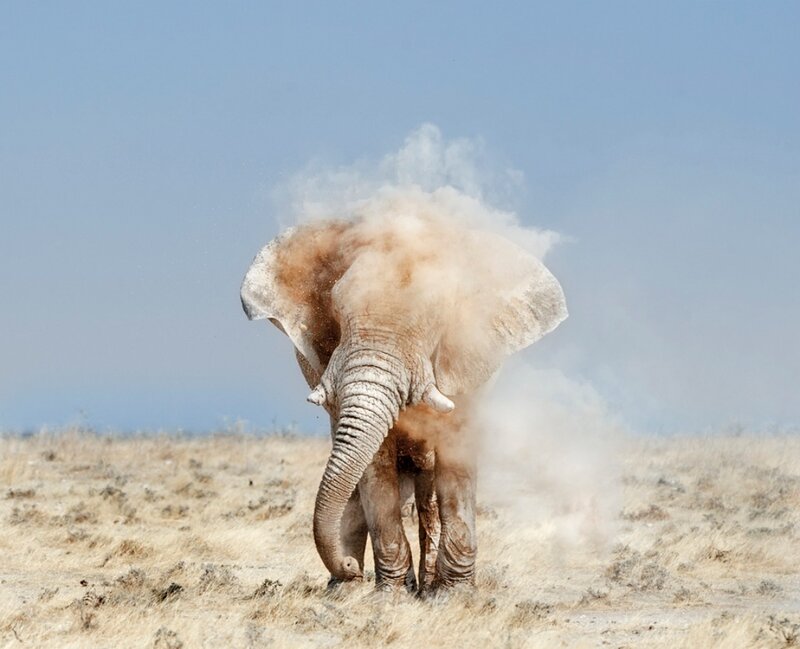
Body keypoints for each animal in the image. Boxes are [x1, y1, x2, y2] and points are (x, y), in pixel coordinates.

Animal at [240, 208, 567, 594]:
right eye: (336, 310)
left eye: (436, 319)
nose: (347, 565)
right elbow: (374, 464)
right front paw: (390, 596)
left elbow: (455, 457)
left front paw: (452, 595)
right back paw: (346, 590)